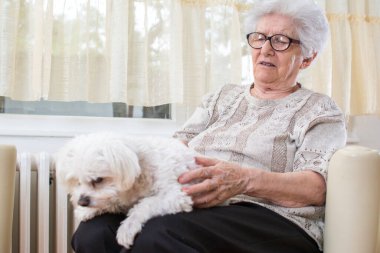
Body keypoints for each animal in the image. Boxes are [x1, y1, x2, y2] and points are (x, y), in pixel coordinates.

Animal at [56, 132, 199, 249]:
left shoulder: (176, 195)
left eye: (98, 180)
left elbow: (144, 205)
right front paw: (86, 211)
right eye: (78, 181)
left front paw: (127, 227)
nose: (82, 202)